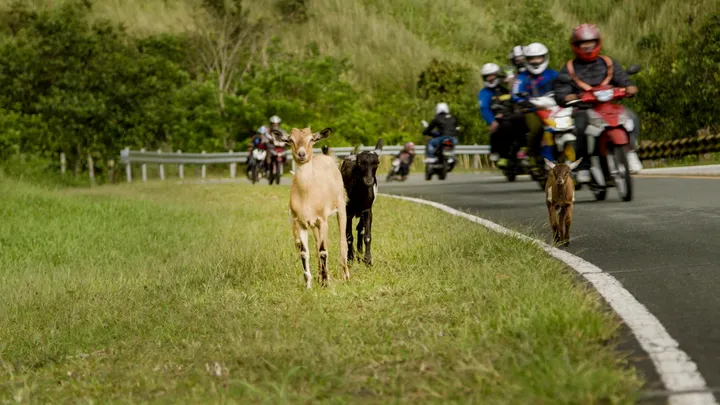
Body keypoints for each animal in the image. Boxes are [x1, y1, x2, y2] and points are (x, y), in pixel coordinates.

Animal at [271, 127, 349, 288]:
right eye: (291, 140)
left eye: (312, 139)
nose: (301, 154)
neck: (307, 196)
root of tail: (327, 157)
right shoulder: (300, 222)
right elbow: (304, 252)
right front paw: (309, 284)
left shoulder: (323, 220)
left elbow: (323, 251)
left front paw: (326, 283)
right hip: (313, 225)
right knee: (316, 243)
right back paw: (320, 276)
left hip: (340, 206)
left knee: (342, 240)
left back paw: (345, 275)